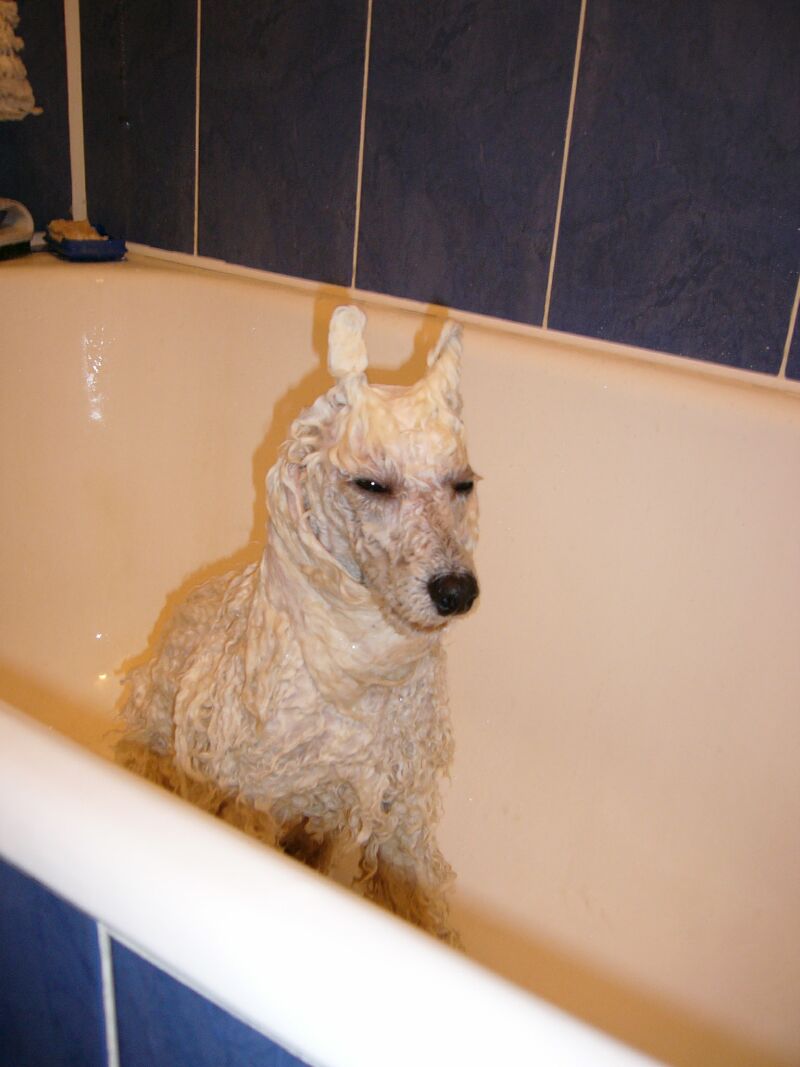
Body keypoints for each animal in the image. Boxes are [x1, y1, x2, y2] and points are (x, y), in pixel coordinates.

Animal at [117, 306, 479, 944]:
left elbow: (413, 900)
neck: (360, 671)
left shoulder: (398, 809)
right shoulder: (257, 794)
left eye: (464, 484)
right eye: (371, 484)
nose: (457, 591)